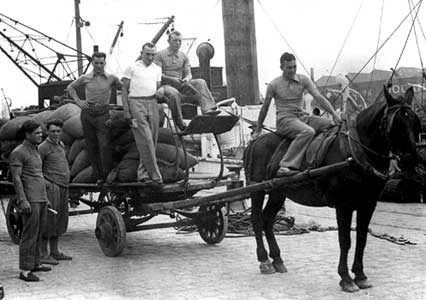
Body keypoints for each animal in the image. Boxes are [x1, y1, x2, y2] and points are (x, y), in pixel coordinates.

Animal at [245, 86, 422, 292]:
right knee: (257, 219)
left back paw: (277, 259)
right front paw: (346, 278)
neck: (356, 152)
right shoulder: (343, 205)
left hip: (278, 192)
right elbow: (345, 241)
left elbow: (362, 238)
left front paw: (360, 275)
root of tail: (255, 141)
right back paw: (264, 260)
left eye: (414, 121)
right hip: (256, 188)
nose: (411, 160)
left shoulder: (368, 204)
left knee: (267, 219)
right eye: (396, 124)